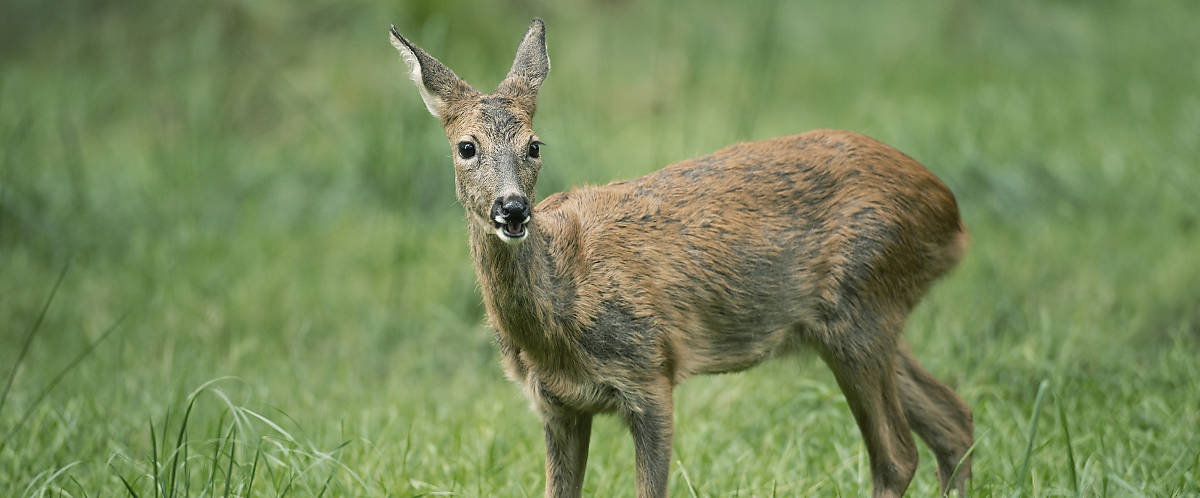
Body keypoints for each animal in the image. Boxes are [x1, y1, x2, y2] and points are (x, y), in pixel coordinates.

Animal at [388, 18, 974, 498]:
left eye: (535, 145)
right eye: (466, 147)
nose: (512, 209)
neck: (563, 309)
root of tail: (952, 213)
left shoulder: (650, 372)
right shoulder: (556, 406)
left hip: (861, 308)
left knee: (898, 454)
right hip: (857, 321)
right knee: (954, 419)